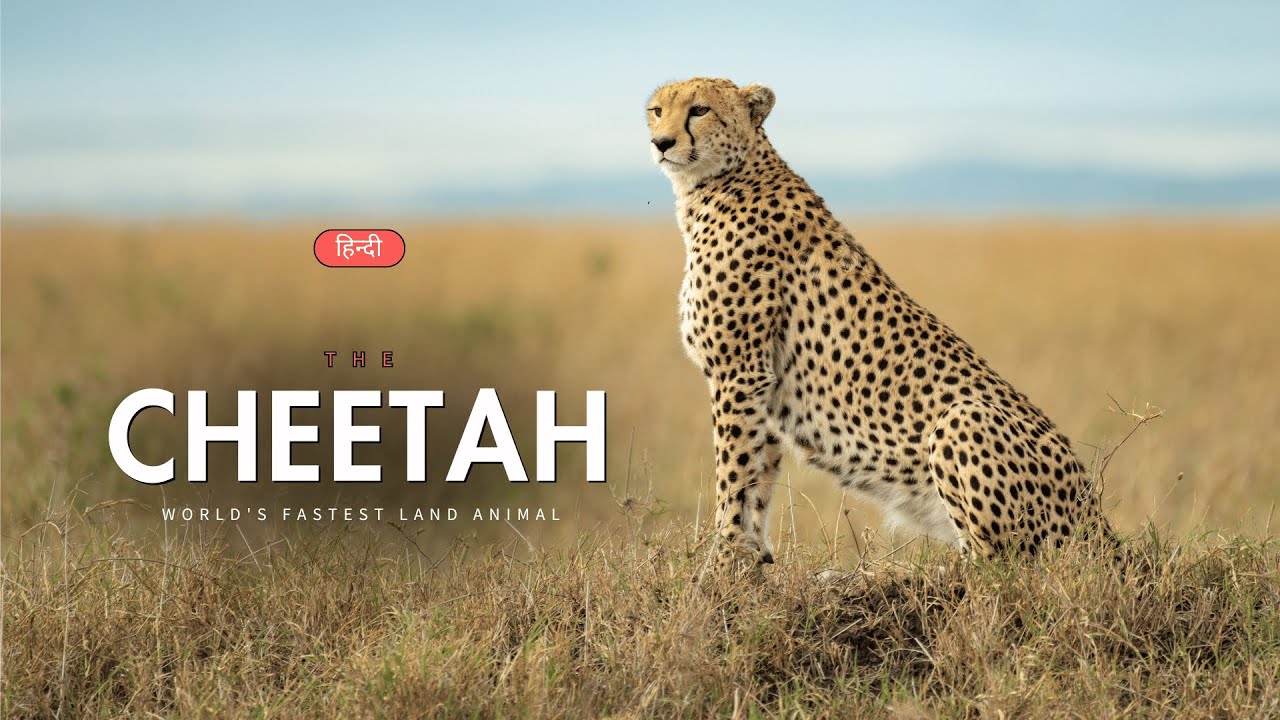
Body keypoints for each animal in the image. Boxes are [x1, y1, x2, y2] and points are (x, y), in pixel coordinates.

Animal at [646, 77, 1115, 571]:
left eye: (699, 110)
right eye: (656, 111)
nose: (662, 143)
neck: (718, 182)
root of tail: (1101, 522)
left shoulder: (739, 373)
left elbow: (733, 475)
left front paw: (720, 562)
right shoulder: (762, 384)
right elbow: (758, 478)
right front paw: (750, 560)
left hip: (962, 419)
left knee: (1001, 568)